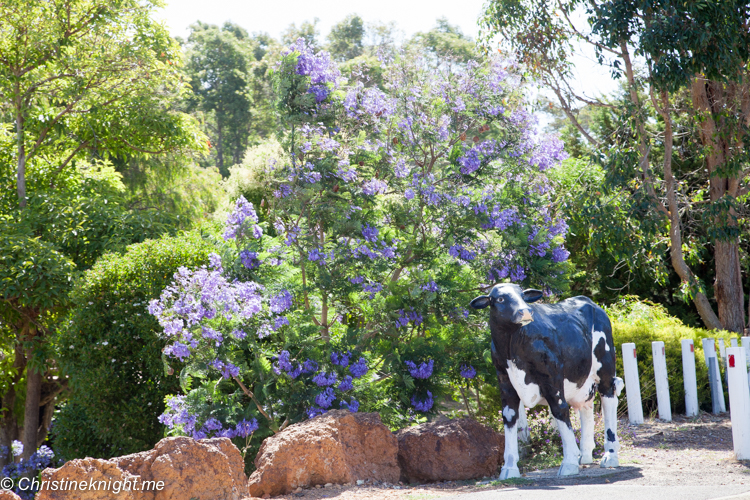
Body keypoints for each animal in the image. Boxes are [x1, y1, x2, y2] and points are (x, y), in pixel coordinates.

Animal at [472, 284, 624, 478]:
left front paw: (569, 462)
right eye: (499, 299)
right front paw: (509, 468)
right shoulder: (504, 380)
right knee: (586, 406)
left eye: (522, 295)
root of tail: (588, 301)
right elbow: (509, 416)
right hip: (582, 379)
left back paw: (610, 455)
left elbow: (560, 410)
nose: (525, 311)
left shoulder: (552, 376)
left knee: (608, 397)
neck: (512, 346)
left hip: (605, 366)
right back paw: (585, 456)